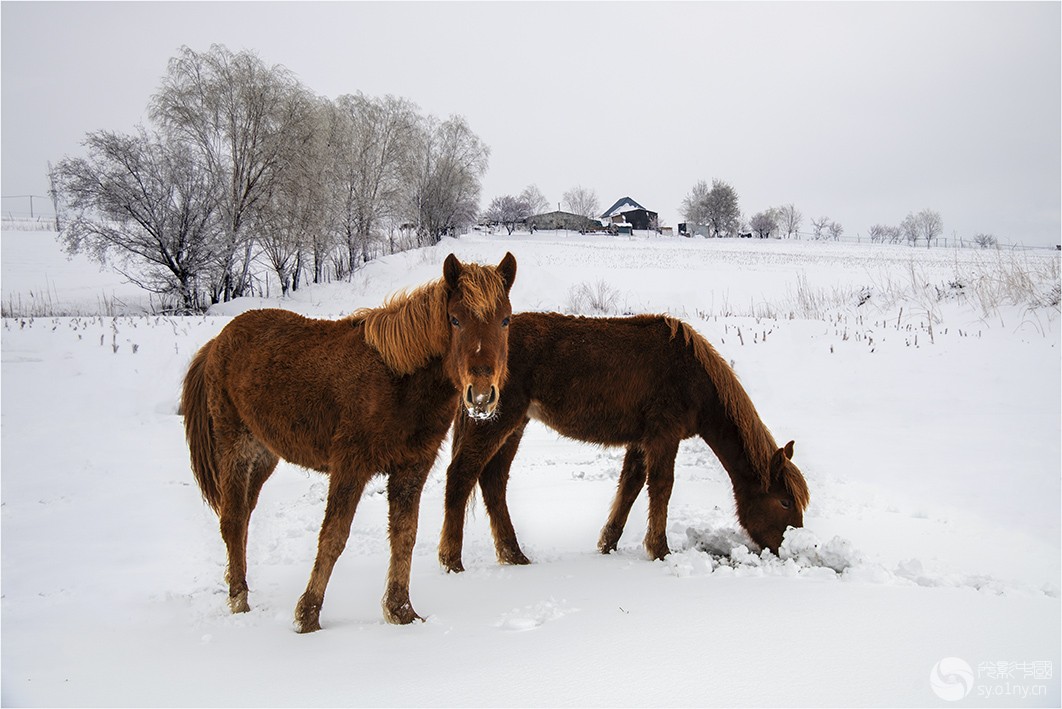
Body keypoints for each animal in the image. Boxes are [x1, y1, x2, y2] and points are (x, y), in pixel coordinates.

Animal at [184, 251, 516, 628]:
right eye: (455, 320)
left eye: (505, 320)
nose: (481, 395)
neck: (397, 380)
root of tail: (217, 343)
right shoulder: (349, 467)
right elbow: (333, 537)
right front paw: (308, 615)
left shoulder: (411, 469)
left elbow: (405, 535)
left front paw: (401, 611)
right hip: (235, 448)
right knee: (233, 519)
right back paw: (239, 598)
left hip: (263, 454)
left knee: (243, 517)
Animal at [435, 312, 807, 573]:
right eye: (785, 502)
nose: (790, 549)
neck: (693, 375)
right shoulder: (663, 435)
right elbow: (661, 487)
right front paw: (659, 549)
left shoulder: (642, 441)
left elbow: (630, 486)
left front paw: (607, 543)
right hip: (500, 421)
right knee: (462, 475)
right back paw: (452, 560)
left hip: (515, 424)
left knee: (493, 481)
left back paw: (514, 555)